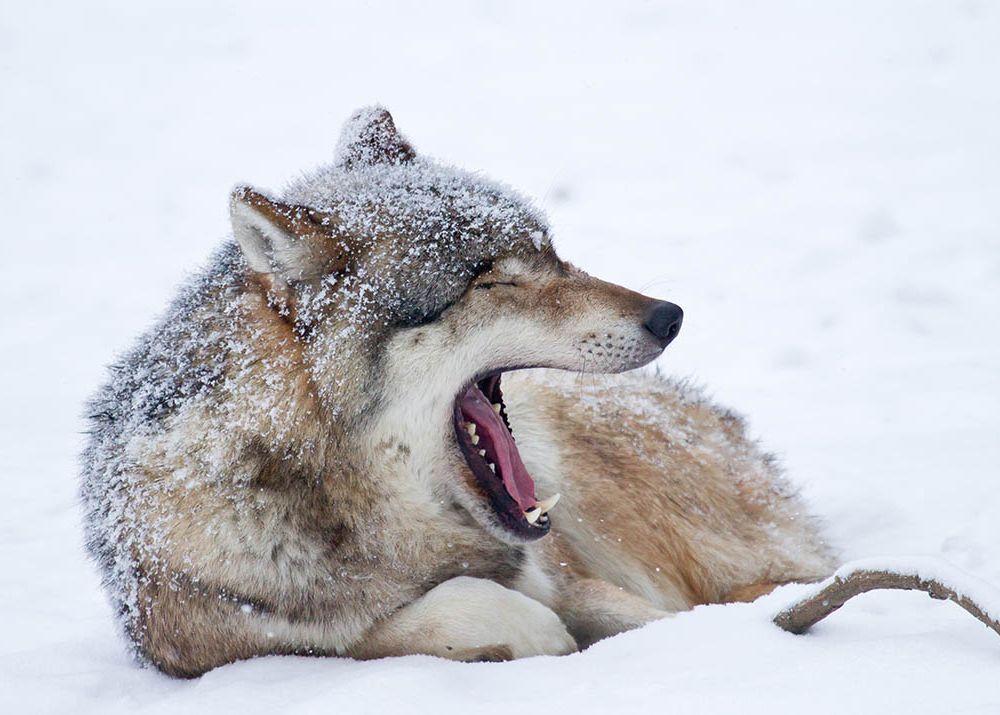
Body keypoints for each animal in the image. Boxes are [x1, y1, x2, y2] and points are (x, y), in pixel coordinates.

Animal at [78, 106, 832, 676]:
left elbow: (652, 619)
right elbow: (398, 624)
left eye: (552, 253)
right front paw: (532, 632)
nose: (668, 316)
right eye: (490, 278)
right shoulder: (216, 644)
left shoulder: (569, 574)